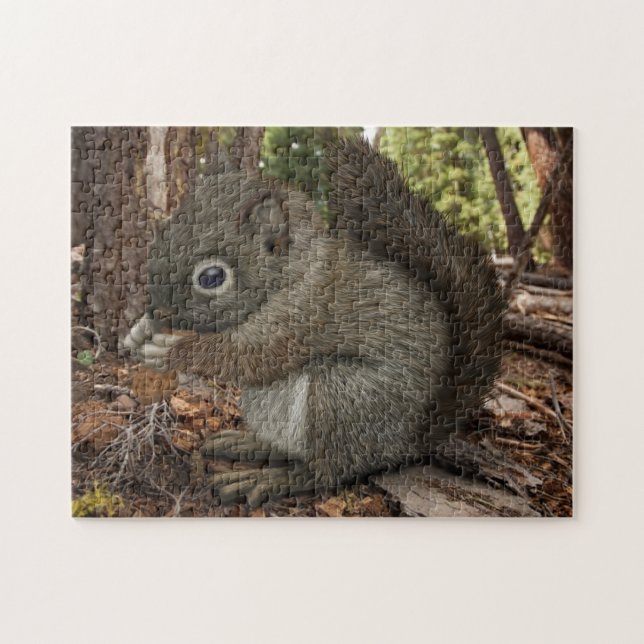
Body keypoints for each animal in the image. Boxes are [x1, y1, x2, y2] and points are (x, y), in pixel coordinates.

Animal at [125, 137, 505, 507]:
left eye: (212, 277)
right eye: (162, 235)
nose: (157, 312)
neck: (293, 275)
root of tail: (408, 444)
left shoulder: (304, 317)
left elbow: (250, 359)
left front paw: (173, 351)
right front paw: (137, 332)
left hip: (344, 400)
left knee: (325, 472)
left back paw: (268, 480)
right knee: (289, 449)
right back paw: (249, 445)